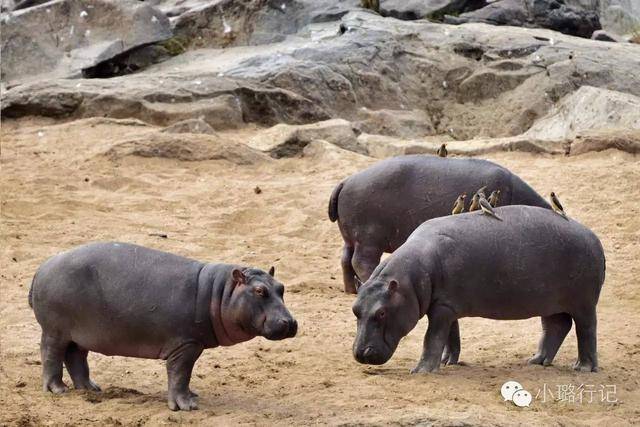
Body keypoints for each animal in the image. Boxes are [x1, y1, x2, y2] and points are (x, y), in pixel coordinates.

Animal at [28, 241, 298, 412]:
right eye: (260, 290)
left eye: (281, 287)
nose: (291, 322)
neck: (221, 292)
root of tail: (41, 267)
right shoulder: (185, 345)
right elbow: (180, 374)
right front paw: (187, 406)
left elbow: (184, 377)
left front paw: (193, 396)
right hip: (55, 331)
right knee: (51, 354)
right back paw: (57, 390)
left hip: (79, 334)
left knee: (75, 356)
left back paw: (91, 389)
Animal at [330, 155, 552, 296]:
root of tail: (345, 181)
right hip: (368, 238)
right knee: (361, 261)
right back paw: (368, 282)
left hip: (351, 237)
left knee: (345, 259)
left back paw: (352, 290)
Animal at [352, 207, 608, 374]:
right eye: (355, 310)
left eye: (381, 313)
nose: (359, 354)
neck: (408, 281)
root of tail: (594, 238)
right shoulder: (446, 305)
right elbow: (450, 336)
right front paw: (447, 362)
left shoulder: (442, 308)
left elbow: (432, 338)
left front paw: (421, 370)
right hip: (549, 302)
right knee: (556, 326)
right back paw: (536, 361)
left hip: (584, 303)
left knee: (586, 330)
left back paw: (583, 367)